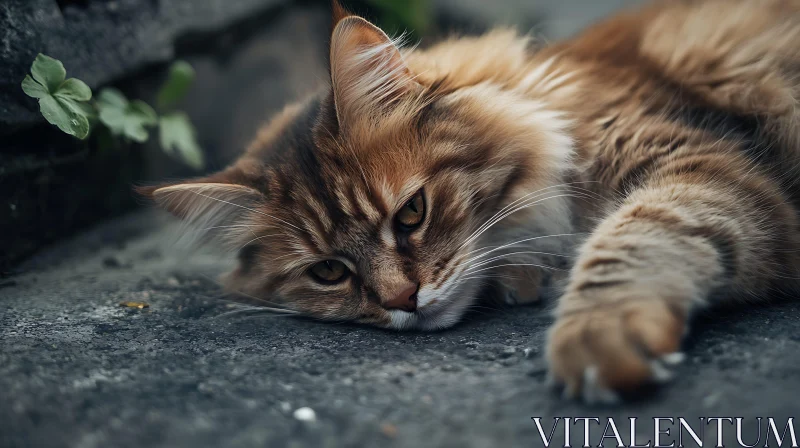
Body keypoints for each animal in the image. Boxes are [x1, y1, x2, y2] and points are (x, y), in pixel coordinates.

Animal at [141, 0, 800, 402]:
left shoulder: (698, 165)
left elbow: (637, 234)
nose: (402, 301)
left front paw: (598, 339)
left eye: (412, 213)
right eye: (328, 272)